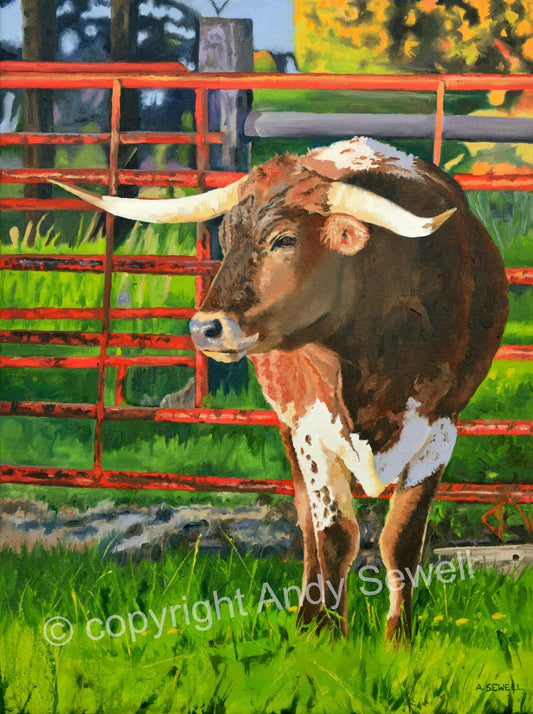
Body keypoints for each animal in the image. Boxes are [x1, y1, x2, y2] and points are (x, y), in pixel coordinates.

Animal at [53, 136, 509, 641]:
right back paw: (309, 619)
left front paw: (399, 640)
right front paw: (330, 636)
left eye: (284, 240)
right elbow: (335, 538)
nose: (204, 328)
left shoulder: (441, 427)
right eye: (227, 239)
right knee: (308, 524)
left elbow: (402, 541)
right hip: (290, 427)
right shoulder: (312, 425)